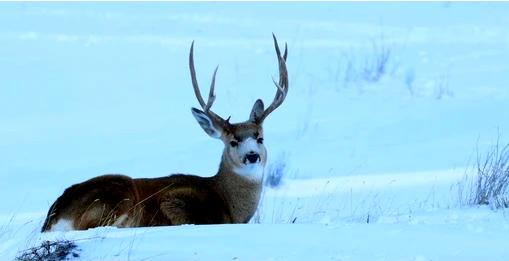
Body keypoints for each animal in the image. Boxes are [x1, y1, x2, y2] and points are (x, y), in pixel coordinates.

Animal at [41, 34, 288, 232]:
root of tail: (52, 218)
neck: (227, 200)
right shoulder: (174, 199)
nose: (252, 156)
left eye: (260, 138)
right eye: (233, 142)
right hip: (117, 194)